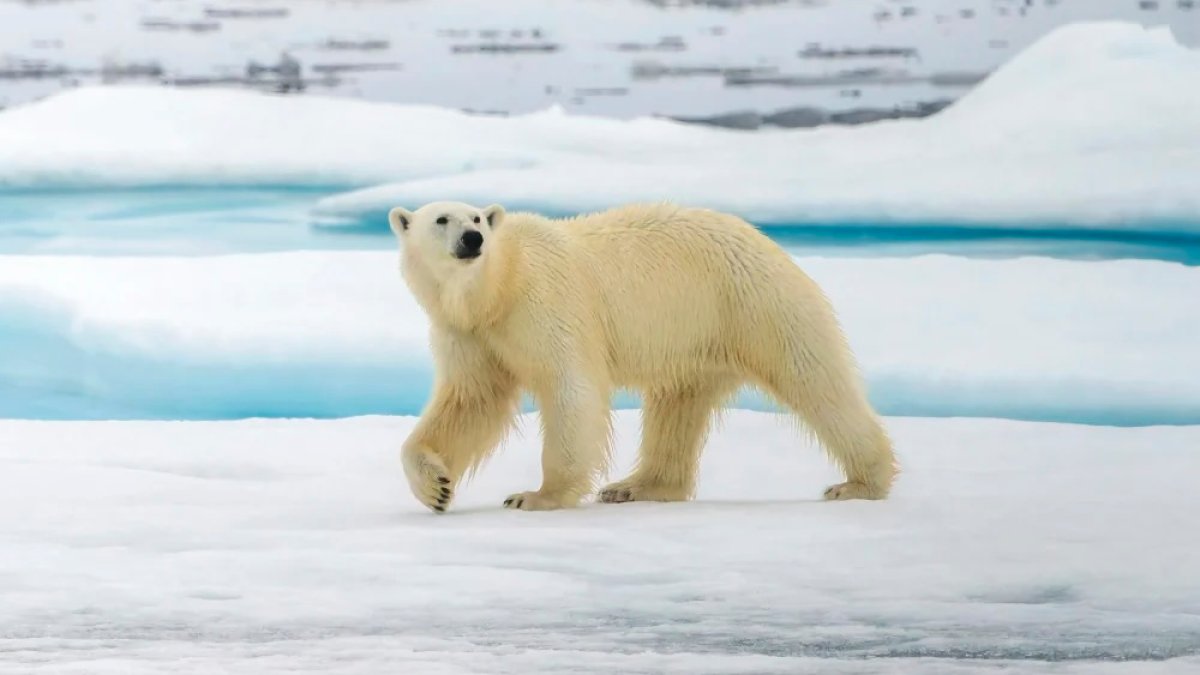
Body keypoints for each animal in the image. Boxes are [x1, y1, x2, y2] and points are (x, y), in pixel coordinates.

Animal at [388, 201, 897, 513]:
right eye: (442, 219)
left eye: (476, 217)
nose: (472, 239)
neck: (497, 287)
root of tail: (765, 241)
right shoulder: (470, 333)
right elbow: (470, 401)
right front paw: (436, 488)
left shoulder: (546, 303)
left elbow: (571, 388)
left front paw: (536, 496)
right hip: (696, 338)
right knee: (676, 406)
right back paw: (636, 485)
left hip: (753, 302)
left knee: (815, 380)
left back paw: (860, 483)